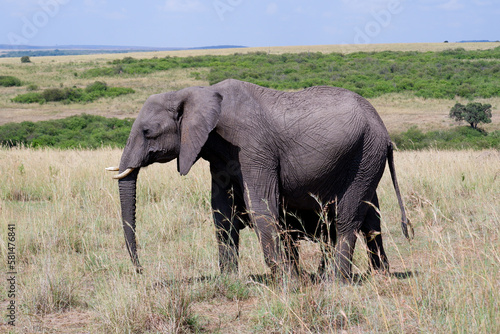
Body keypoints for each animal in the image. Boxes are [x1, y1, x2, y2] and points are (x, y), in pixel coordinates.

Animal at [107, 78, 412, 282]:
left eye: (147, 132)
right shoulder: (219, 157)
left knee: (346, 219)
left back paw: (335, 281)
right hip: (366, 159)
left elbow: (262, 208)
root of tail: (384, 132)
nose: (141, 271)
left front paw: (288, 284)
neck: (196, 92)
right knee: (369, 219)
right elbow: (221, 212)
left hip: (365, 155)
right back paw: (380, 274)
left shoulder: (254, 147)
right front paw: (228, 281)